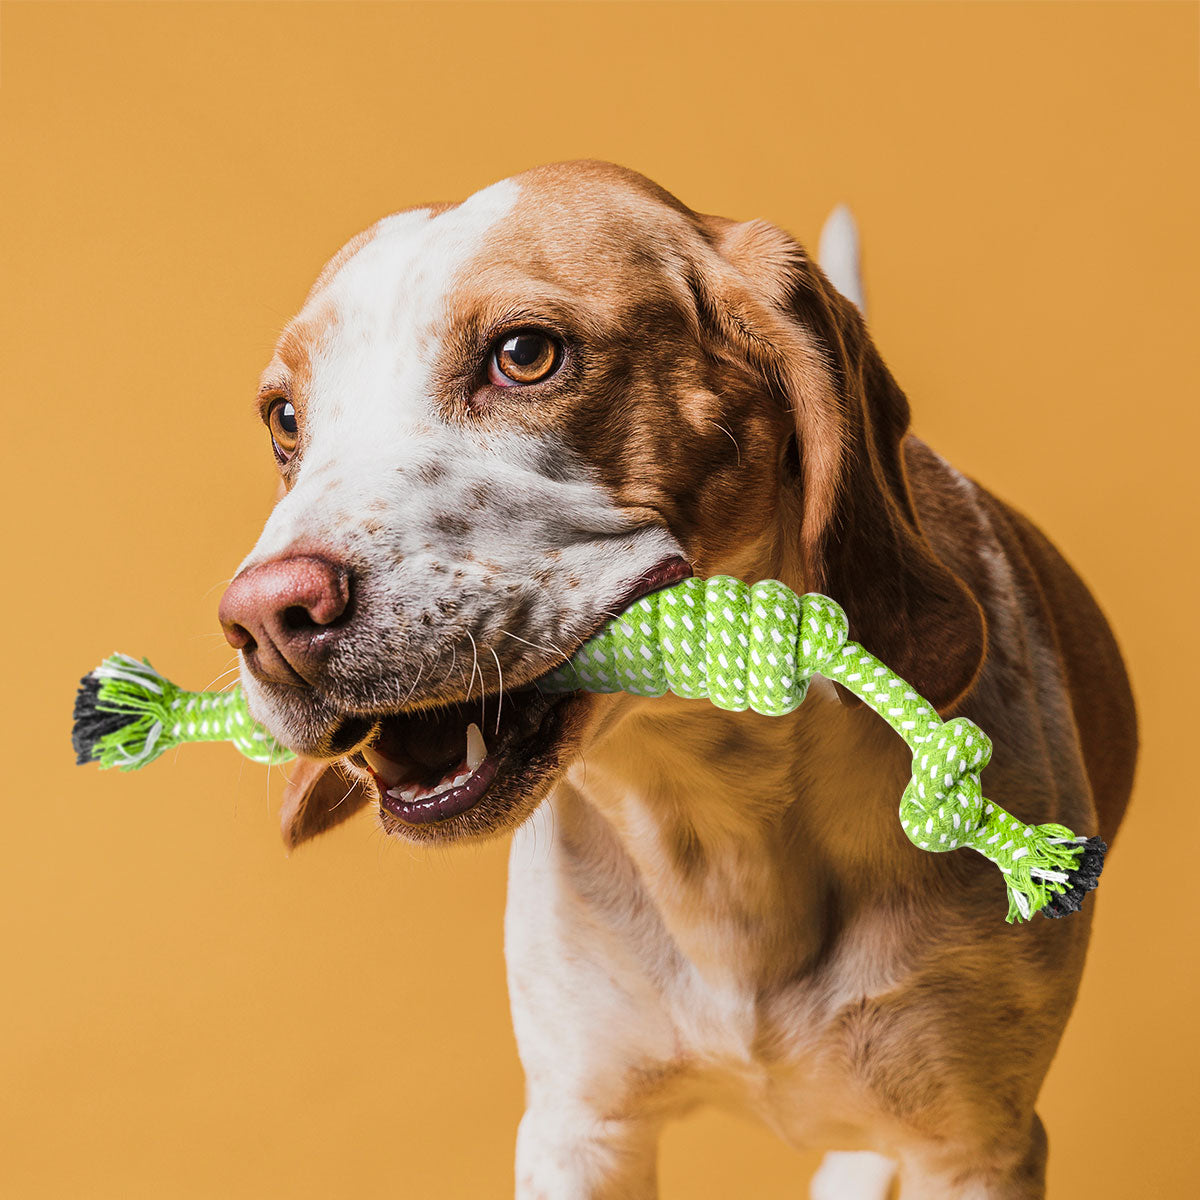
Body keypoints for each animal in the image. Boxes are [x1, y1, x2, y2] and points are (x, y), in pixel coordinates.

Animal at [220, 162, 1137, 1200]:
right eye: (285, 419)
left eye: (525, 356)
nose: (264, 618)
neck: (718, 814)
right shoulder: (581, 1131)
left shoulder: (972, 1147)